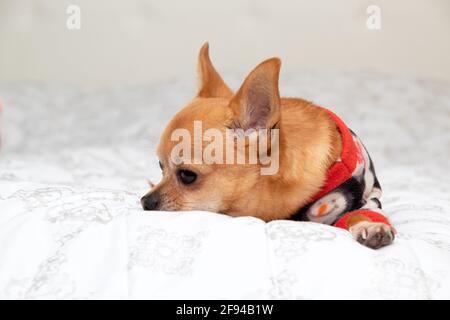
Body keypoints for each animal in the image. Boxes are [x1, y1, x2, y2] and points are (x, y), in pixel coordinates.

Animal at [142, 42, 396, 249]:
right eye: (161, 167)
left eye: (187, 176)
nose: (145, 201)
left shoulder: (362, 198)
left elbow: (359, 214)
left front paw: (369, 226)